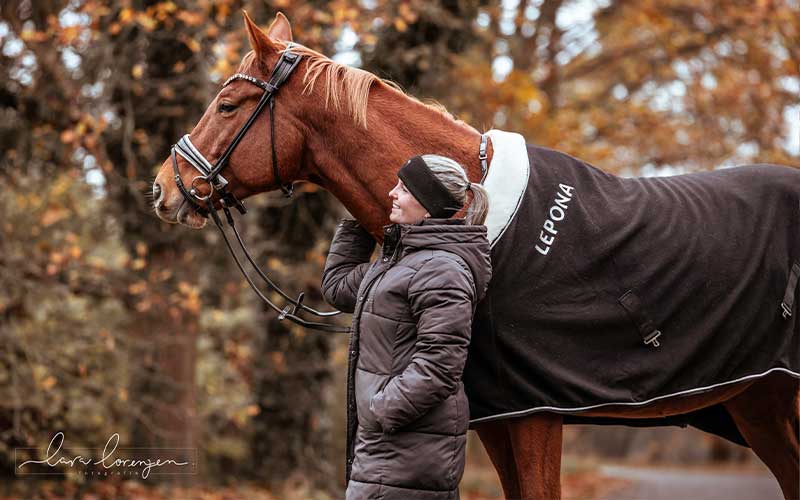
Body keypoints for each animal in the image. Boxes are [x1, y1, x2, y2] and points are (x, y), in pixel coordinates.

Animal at [152, 11, 800, 500]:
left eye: (228, 107)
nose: (163, 188)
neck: (484, 226)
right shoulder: (497, 416)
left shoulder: (537, 414)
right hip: (761, 402)